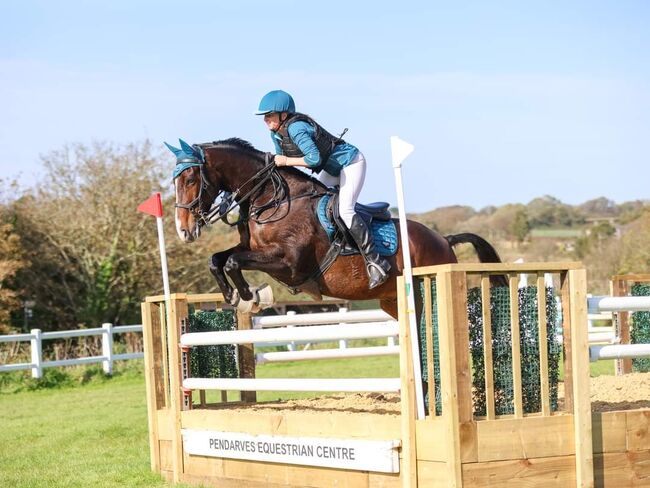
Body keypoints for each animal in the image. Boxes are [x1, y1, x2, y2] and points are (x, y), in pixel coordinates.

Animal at [171, 137, 505, 319]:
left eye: (190, 179)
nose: (184, 230)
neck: (270, 199)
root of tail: (444, 239)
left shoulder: (289, 265)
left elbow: (232, 261)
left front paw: (251, 297)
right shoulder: (252, 248)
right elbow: (218, 259)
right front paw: (235, 297)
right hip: (393, 300)